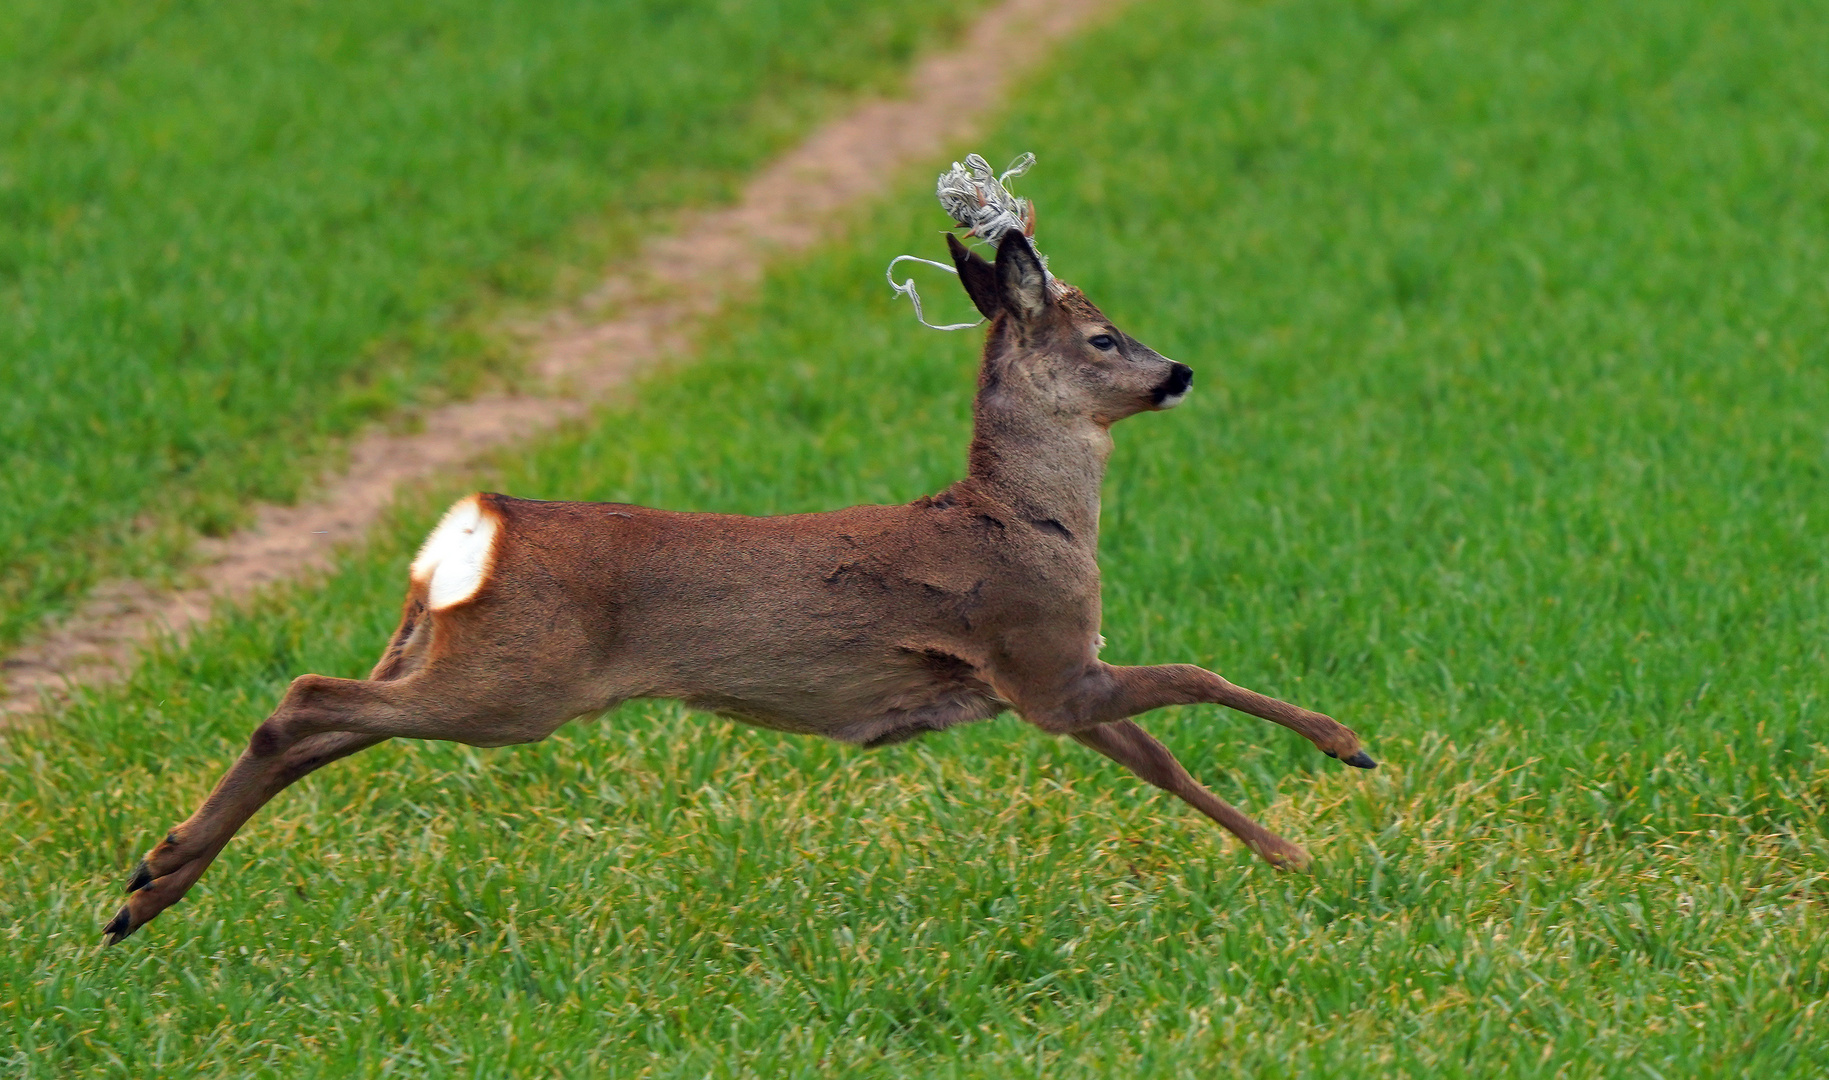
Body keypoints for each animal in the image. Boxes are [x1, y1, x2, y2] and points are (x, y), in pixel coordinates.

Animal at [103, 230, 1375, 951]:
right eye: (1105, 337)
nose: (1179, 372)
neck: (1030, 522)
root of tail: (467, 532)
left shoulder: (1041, 686)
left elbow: (1162, 766)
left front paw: (1289, 858)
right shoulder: (1039, 657)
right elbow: (1197, 677)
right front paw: (1347, 747)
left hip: (446, 655)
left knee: (320, 722)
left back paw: (148, 884)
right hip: (518, 686)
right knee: (302, 701)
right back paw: (150, 883)